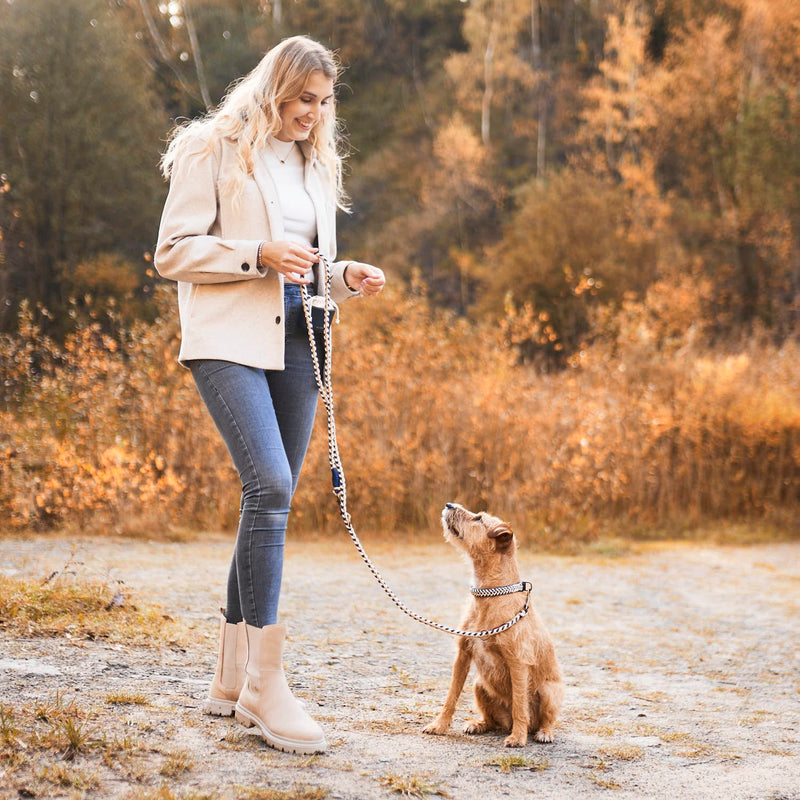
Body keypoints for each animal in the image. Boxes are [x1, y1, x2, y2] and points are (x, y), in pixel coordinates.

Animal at [424, 504, 564, 748]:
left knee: (545, 719)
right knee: (491, 719)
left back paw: (542, 732)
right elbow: (451, 695)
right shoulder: (462, 654)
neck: (489, 595)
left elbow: (519, 704)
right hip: (479, 684)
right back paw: (478, 725)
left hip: (549, 691)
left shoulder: (517, 662)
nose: (449, 505)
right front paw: (439, 725)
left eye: (479, 519)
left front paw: (518, 738)